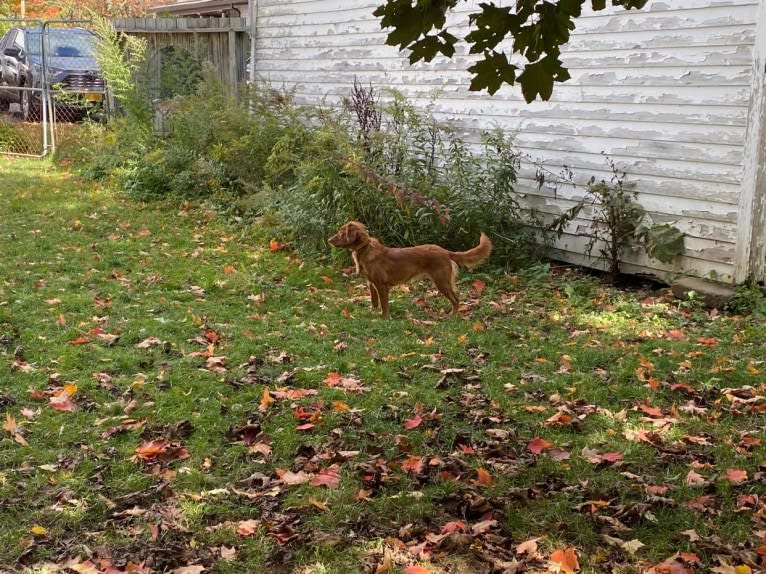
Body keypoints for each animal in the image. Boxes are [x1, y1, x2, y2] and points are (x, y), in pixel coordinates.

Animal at [328, 222, 492, 320]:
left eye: (341, 233)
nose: (328, 240)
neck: (365, 249)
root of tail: (445, 251)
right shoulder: (371, 284)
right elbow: (374, 302)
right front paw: (372, 313)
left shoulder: (381, 285)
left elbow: (384, 304)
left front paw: (384, 318)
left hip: (441, 282)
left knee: (456, 299)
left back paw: (452, 316)